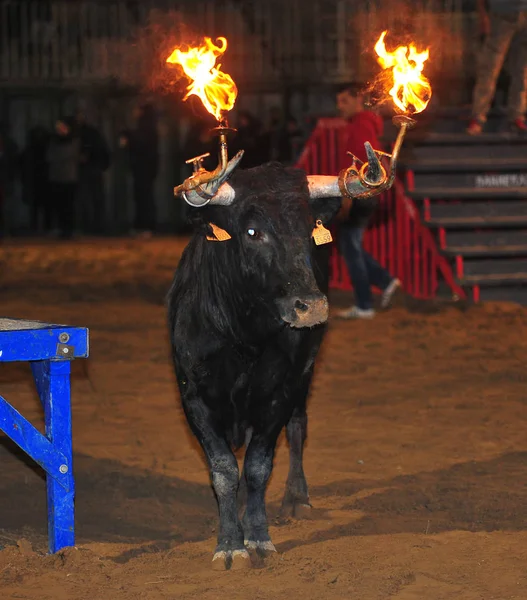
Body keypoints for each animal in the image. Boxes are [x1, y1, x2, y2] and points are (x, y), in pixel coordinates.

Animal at [167, 162, 344, 568]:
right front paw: (230, 543)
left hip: (305, 374)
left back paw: (296, 498)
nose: (312, 306)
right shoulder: (192, 395)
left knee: (298, 428)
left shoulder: (280, 392)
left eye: (310, 228)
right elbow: (224, 469)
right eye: (252, 231)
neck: (243, 337)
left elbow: (258, 467)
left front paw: (258, 536)